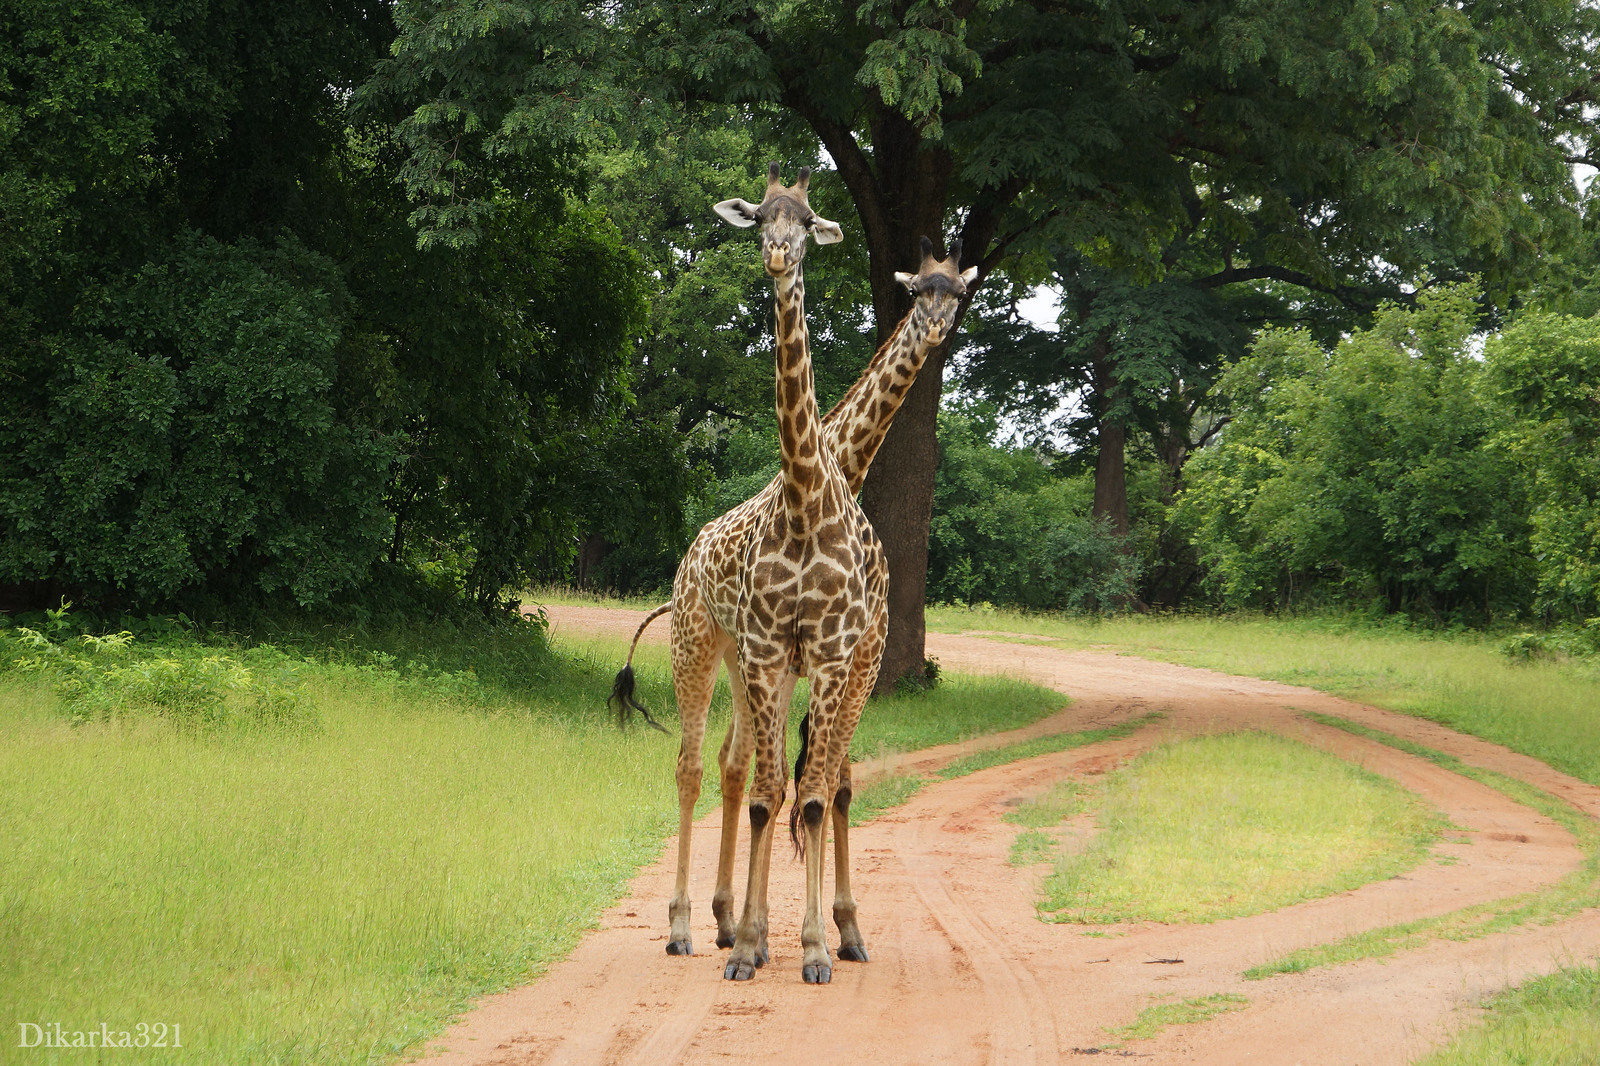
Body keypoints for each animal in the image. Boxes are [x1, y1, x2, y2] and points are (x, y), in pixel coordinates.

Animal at [604, 168, 966, 979]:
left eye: (954, 292)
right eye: (761, 217)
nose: (776, 255)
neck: (814, 486)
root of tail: (690, 554)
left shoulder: (836, 656)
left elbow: (821, 790)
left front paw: (818, 940)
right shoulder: (779, 654)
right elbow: (783, 791)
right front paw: (758, 941)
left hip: (755, 667)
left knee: (746, 767)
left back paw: (725, 918)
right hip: (699, 647)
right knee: (697, 767)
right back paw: (684, 925)